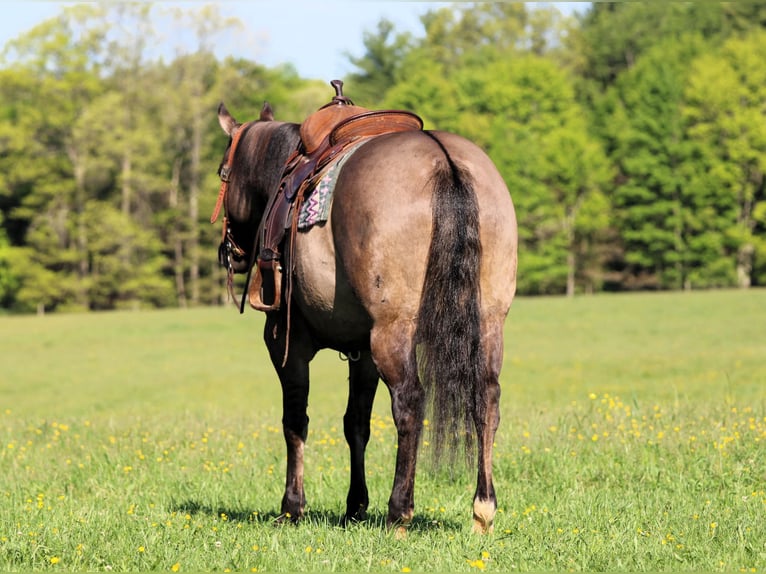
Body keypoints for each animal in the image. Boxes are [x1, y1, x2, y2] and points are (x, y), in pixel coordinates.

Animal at [213, 84, 517, 534]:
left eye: (223, 173)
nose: (229, 251)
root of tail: (444, 159)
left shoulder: (287, 344)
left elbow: (295, 421)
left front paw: (292, 506)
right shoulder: (362, 352)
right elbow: (355, 422)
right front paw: (355, 504)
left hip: (393, 330)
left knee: (410, 402)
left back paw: (399, 511)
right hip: (488, 322)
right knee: (487, 399)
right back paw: (483, 508)